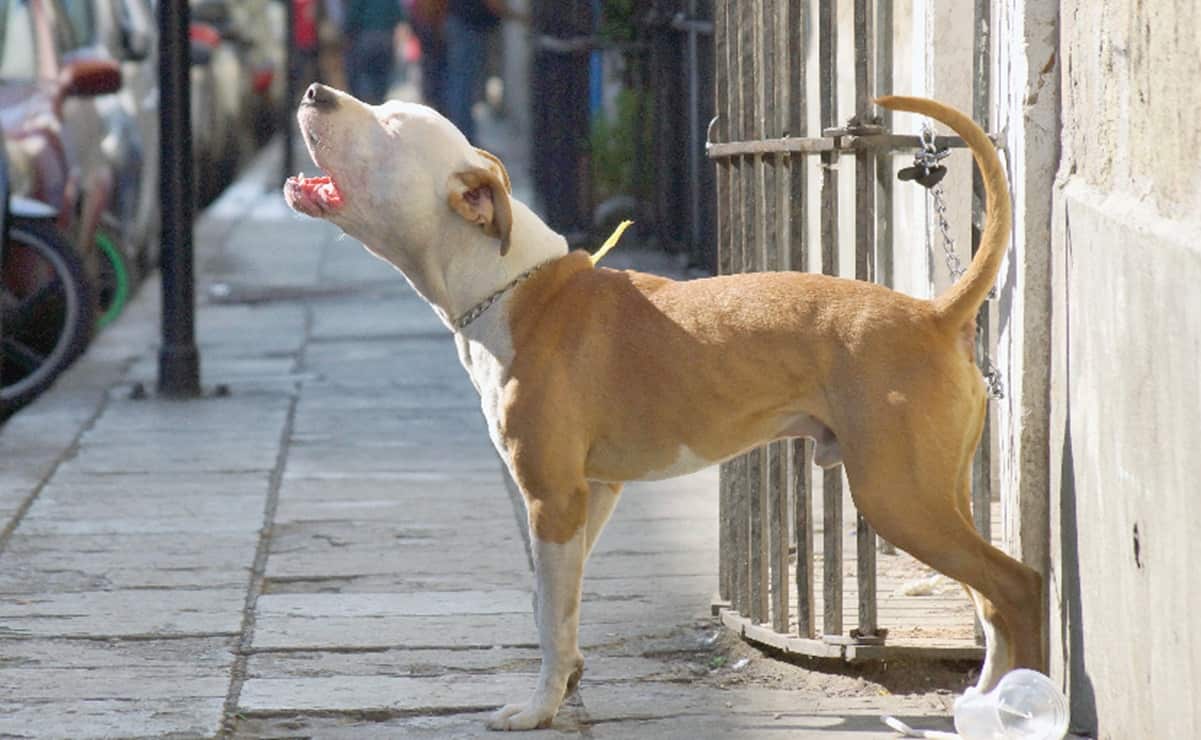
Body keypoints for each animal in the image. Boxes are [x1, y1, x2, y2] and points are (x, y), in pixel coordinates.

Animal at [281, 85, 1042, 730]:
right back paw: (982, 702)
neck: (512, 289)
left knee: (1018, 586)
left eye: (389, 125)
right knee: (989, 598)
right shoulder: (591, 493)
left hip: (897, 497)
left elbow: (547, 613)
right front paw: (564, 681)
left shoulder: (551, 497)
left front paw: (538, 709)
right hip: (935, 493)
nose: (316, 92)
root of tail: (932, 314)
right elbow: (554, 605)